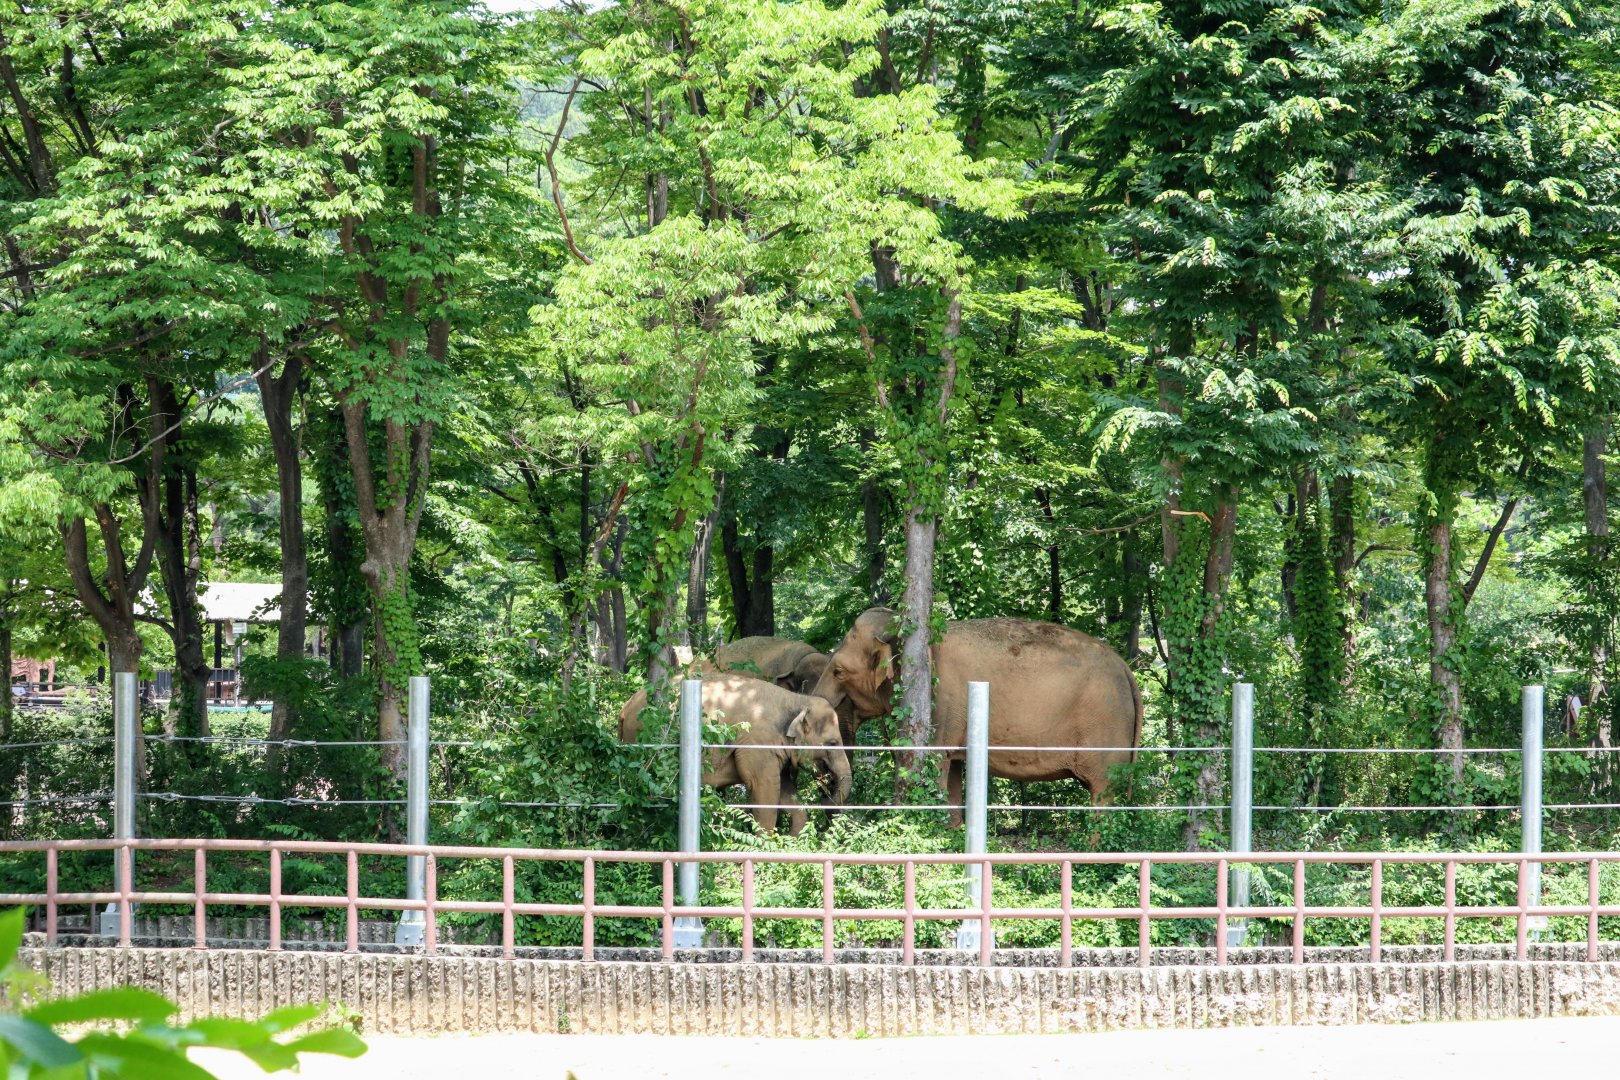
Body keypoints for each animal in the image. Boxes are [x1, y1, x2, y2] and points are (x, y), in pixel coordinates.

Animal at [618, 673, 851, 834]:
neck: (797, 700)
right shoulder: (757, 744)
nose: (826, 795)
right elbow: (765, 788)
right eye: (832, 743)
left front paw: (792, 842)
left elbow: (785, 791)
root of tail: (625, 708)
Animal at [810, 608, 1142, 823]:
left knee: (1103, 793)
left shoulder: (940, 702)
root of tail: (1126, 669)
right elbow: (953, 778)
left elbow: (938, 765)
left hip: (1106, 728)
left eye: (838, 671)